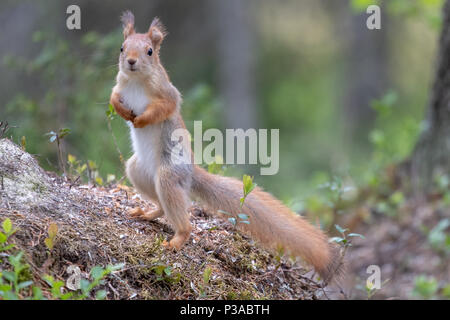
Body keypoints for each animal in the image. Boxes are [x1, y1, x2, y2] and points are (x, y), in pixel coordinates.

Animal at [110, 10, 342, 282]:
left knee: (182, 220)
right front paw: (123, 111)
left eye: (149, 51)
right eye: (122, 47)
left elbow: (166, 106)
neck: (136, 80)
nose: (131, 62)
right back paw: (146, 213)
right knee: (160, 206)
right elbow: (114, 96)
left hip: (168, 174)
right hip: (138, 171)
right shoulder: (120, 84)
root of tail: (191, 172)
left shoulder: (167, 92)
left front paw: (142, 120)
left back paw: (177, 239)